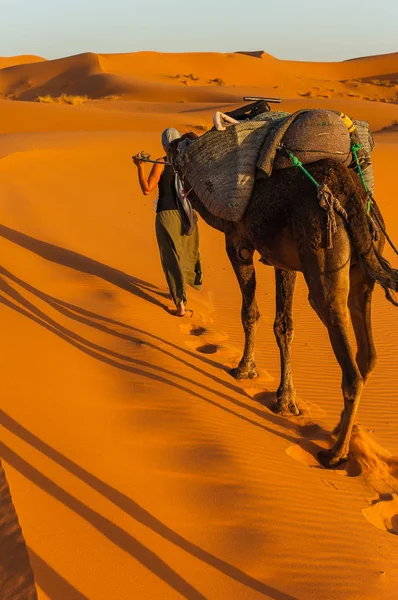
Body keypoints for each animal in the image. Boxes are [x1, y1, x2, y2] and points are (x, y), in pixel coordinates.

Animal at [169, 136, 398, 468]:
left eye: (179, 149)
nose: (170, 143)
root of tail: (353, 194)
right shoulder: (284, 263)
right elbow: (284, 325)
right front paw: (285, 400)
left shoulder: (237, 242)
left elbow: (250, 311)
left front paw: (244, 369)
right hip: (366, 262)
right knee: (366, 354)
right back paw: (339, 429)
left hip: (324, 258)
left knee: (349, 365)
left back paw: (335, 453)